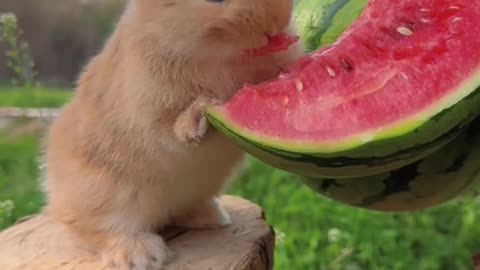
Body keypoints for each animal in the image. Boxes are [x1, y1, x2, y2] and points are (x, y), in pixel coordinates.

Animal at [41, 0, 304, 268]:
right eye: (215, 1)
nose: (277, 22)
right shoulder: (154, 117)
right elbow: (174, 132)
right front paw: (197, 118)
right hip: (104, 194)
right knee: (96, 228)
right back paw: (142, 254)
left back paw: (213, 217)